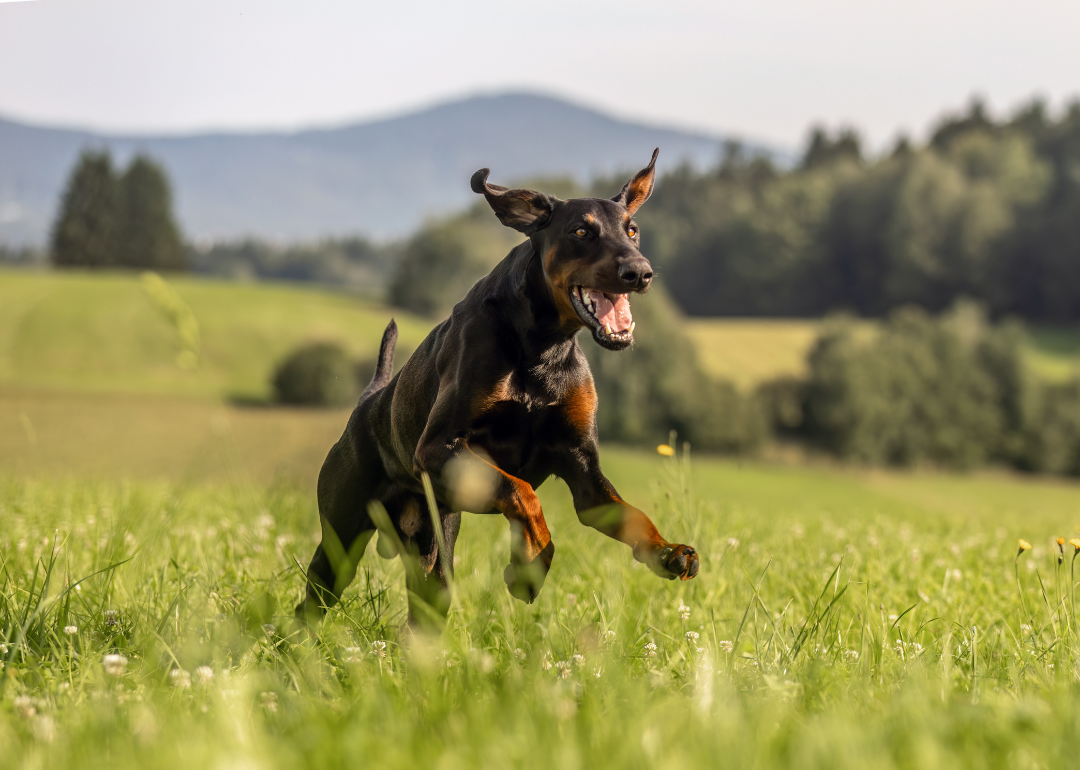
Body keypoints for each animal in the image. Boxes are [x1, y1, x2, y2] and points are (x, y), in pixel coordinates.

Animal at [295, 150, 699, 626]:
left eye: (632, 229)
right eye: (581, 231)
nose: (639, 271)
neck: (542, 346)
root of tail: (369, 401)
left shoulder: (584, 469)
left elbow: (630, 515)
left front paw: (669, 552)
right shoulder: (437, 449)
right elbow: (522, 493)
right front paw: (530, 567)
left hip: (431, 548)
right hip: (341, 538)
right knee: (311, 600)